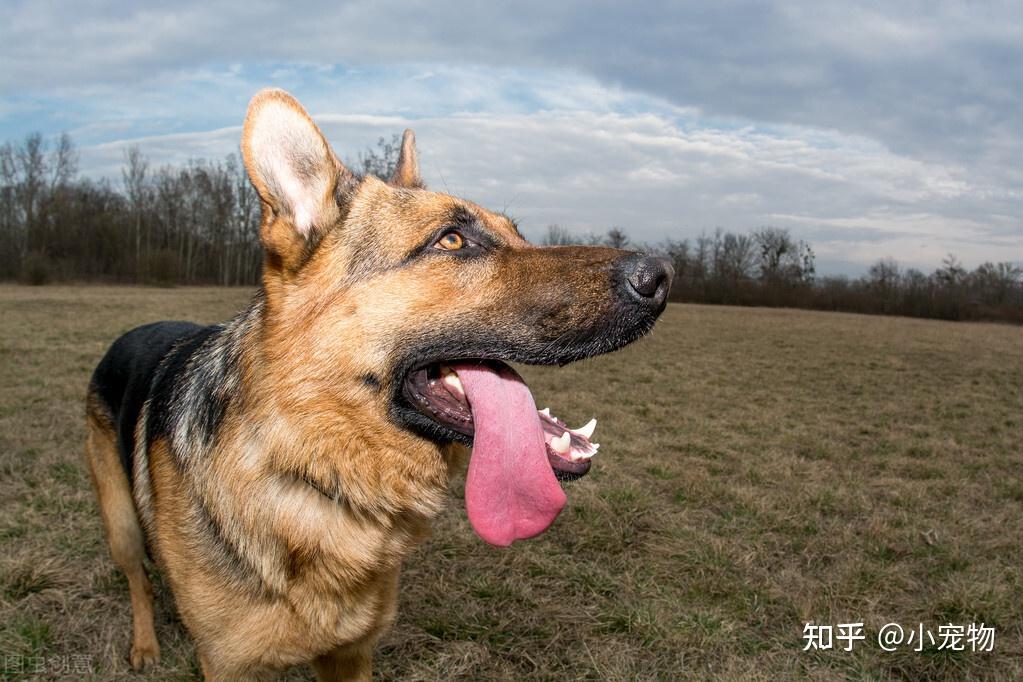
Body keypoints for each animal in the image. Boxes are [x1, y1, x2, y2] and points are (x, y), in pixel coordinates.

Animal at [83, 90, 675, 682]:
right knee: (137, 578)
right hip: (120, 524)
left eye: (519, 234)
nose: (663, 275)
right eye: (452, 240)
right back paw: (144, 645)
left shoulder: (351, 654)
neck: (314, 466)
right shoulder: (229, 667)